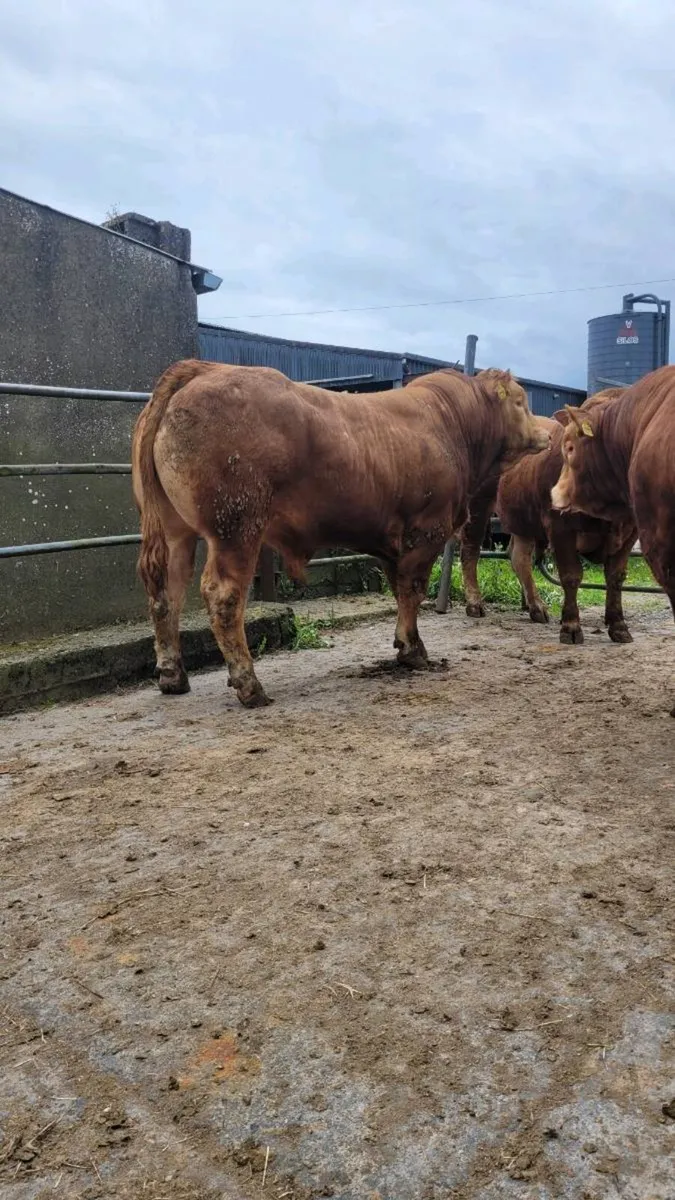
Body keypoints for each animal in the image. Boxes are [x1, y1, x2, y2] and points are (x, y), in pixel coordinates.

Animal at [132, 360, 549, 709]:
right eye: (520, 402)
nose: (545, 434)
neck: (453, 423)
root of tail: (204, 368)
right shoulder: (426, 531)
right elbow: (413, 590)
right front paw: (412, 649)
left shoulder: (394, 542)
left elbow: (400, 590)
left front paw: (404, 643)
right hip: (236, 527)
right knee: (223, 596)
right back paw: (249, 684)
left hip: (175, 531)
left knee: (166, 592)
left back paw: (173, 676)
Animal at [459, 389, 637, 644]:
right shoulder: (559, 525)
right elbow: (571, 575)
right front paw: (571, 627)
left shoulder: (630, 532)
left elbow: (616, 576)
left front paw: (619, 625)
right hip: (478, 504)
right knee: (471, 550)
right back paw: (475, 603)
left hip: (522, 517)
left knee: (519, 557)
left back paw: (536, 607)